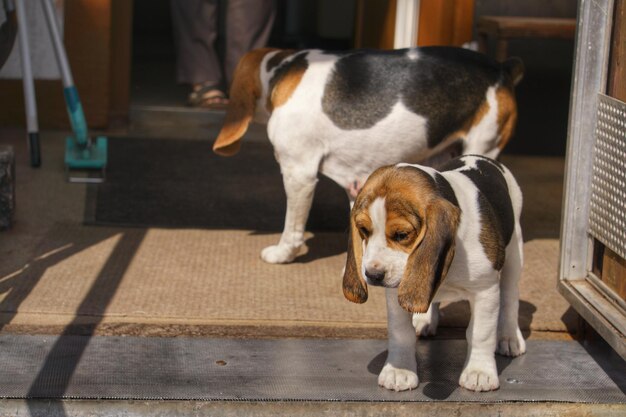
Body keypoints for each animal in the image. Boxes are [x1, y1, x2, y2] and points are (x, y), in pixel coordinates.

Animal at [212, 47, 520, 262]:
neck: (281, 71)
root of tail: (501, 68)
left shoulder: (299, 173)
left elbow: (292, 226)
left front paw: (283, 254)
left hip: (483, 142)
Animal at [344, 155, 524, 390]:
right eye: (363, 230)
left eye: (402, 235)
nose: (373, 275)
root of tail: (480, 157)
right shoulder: (396, 291)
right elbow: (401, 332)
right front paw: (400, 370)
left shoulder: (485, 290)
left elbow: (480, 334)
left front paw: (479, 372)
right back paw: (425, 319)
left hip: (514, 253)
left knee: (510, 298)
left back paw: (509, 337)